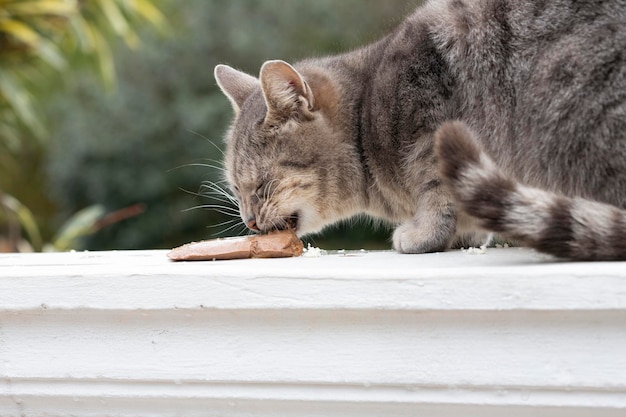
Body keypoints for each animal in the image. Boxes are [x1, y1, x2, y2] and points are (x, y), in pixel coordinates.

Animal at [213, 0, 624, 260]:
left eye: (261, 185)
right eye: (236, 189)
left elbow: (438, 195)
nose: (249, 221)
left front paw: (426, 235)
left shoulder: (431, 127)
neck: (365, 118)